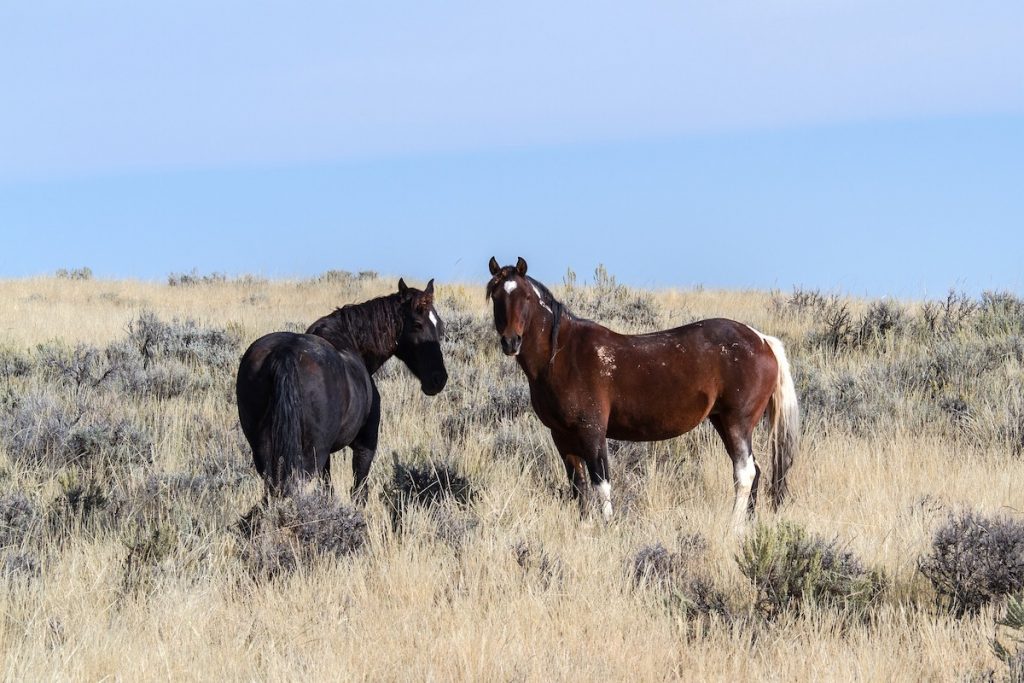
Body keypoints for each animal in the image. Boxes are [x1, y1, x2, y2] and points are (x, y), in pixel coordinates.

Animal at [236, 278, 448, 501]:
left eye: (440, 325)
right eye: (417, 324)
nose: (438, 379)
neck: (348, 338)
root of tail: (285, 352)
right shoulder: (364, 446)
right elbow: (359, 492)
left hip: (265, 452)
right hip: (311, 455)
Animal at [486, 257, 799, 531]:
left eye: (526, 297)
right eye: (496, 295)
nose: (511, 341)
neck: (562, 355)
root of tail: (762, 340)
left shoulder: (592, 431)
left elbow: (601, 482)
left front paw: (607, 527)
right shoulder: (561, 436)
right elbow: (579, 485)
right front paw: (585, 527)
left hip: (737, 422)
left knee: (744, 473)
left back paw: (733, 528)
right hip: (722, 421)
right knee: (755, 471)